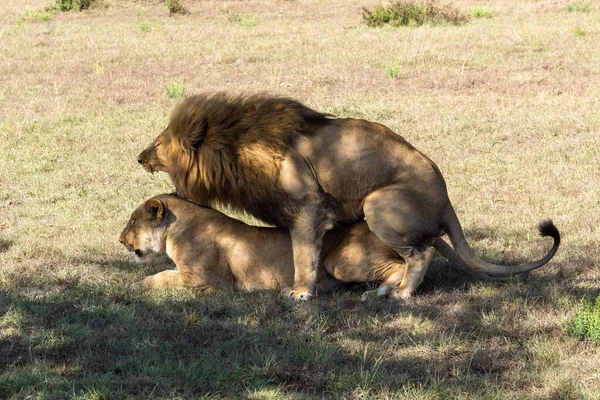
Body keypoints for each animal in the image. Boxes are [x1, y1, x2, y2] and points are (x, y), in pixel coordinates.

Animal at [119, 194, 410, 300]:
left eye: (133, 220)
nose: (121, 240)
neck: (173, 232)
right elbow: (164, 274)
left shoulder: (208, 280)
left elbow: (161, 277)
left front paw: (136, 285)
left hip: (338, 262)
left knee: (401, 264)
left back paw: (383, 291)